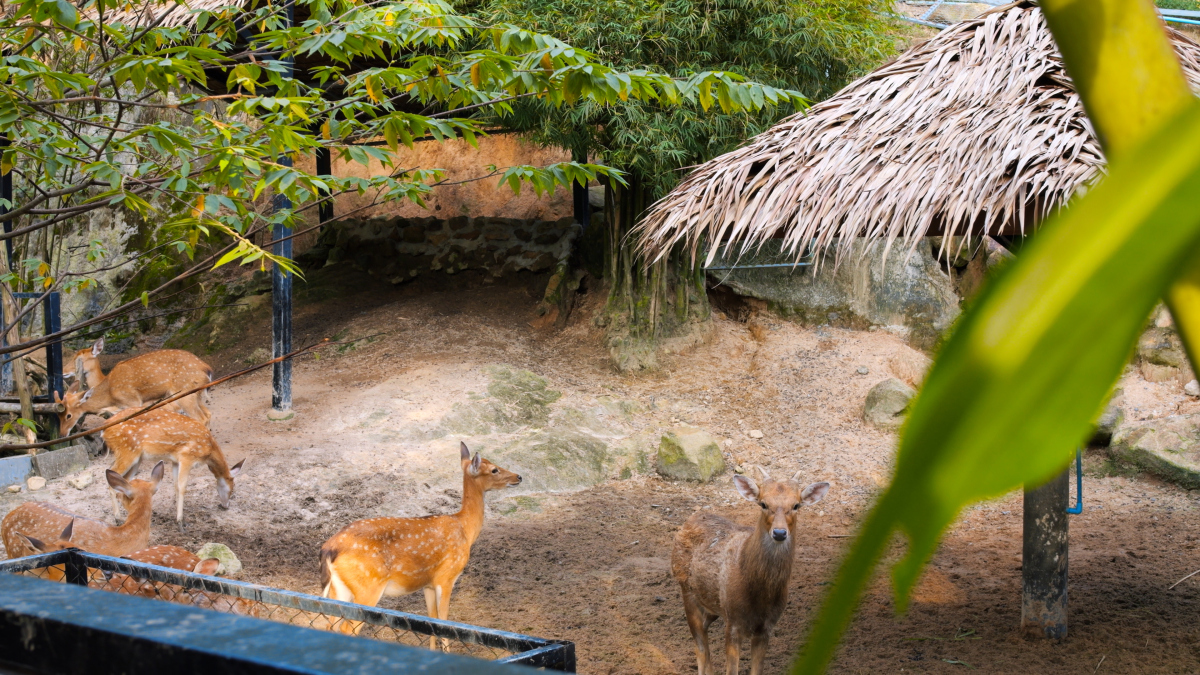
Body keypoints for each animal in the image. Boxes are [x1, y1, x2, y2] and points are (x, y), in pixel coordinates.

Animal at [57, 336, 213, 429]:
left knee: (200, 417)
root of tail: (207, 369)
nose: (63, 371)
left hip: (184, 394)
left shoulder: (134, 401)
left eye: (78, 360)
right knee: (207, 414)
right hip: (196, 394)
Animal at [95, 401, 243, 523]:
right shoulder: (187, 456)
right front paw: (180, 520)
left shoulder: (175, 461)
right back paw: (118, 518)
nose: (226, 506)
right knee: (111, 478)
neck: (209, 450)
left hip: (136, 458)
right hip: (127, 450)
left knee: (123, 481)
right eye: (232, 488)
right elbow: (182, 487)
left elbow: (176, 486)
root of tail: (103, 430)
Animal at [319, 439, 520, 643]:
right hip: (368, 587)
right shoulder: (446, 577)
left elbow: (432, 622)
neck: (464, 528)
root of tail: (329, 548)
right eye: (494, 469)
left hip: (339, 588)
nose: (518, 477)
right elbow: (444, 624)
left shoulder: (428, 584)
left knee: (329, 625)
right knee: (347, 628)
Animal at [672, 466, 830, 672]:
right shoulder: (733, 624)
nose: (780, 533)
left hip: (712, 604)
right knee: (700, 647)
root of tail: (690, 519)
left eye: (796, 505)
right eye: (763, 503)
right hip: (686, 589)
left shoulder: (766, 628)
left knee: (704, 635)